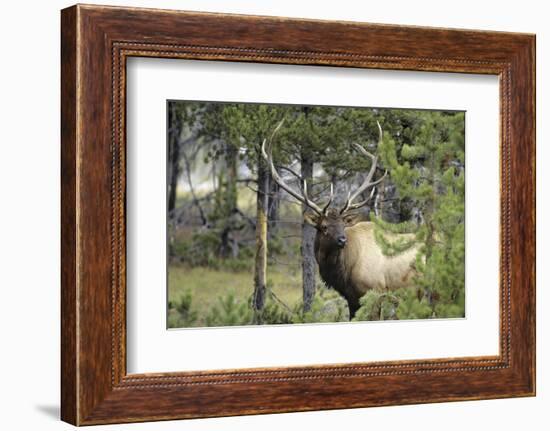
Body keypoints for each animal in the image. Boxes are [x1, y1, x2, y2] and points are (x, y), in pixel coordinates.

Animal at [260, 121, 420, 320]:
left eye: (343, 225)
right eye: (324, 226)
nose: (342, 240)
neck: (344, 273)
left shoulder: (375, 292)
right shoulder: (351, 298)